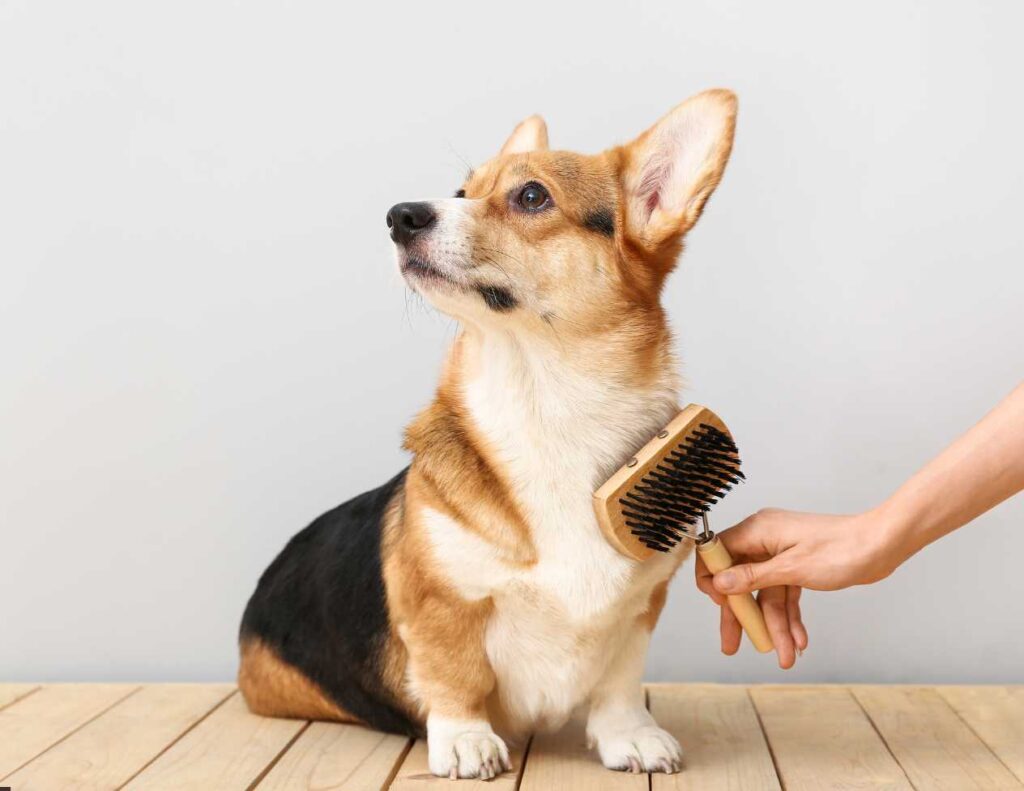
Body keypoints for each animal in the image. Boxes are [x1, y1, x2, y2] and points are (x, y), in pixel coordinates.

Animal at [239, 88, 737, 778]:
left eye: (531, 196)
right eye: (460, 189)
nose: (399, 215)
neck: (547, 404)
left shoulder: (640, 609)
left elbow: (618, 684)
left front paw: (631, 737)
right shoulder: (441, 603)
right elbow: (455, 675)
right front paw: (466, 742)